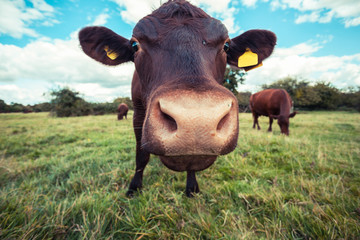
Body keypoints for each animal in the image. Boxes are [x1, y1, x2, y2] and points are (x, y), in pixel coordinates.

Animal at [79, 0, 276, 197]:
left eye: (226, 46)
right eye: (135, 45)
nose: (196, 122)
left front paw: (192, 188)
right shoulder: (138, 111)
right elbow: (141, 155)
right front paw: (134, 187)